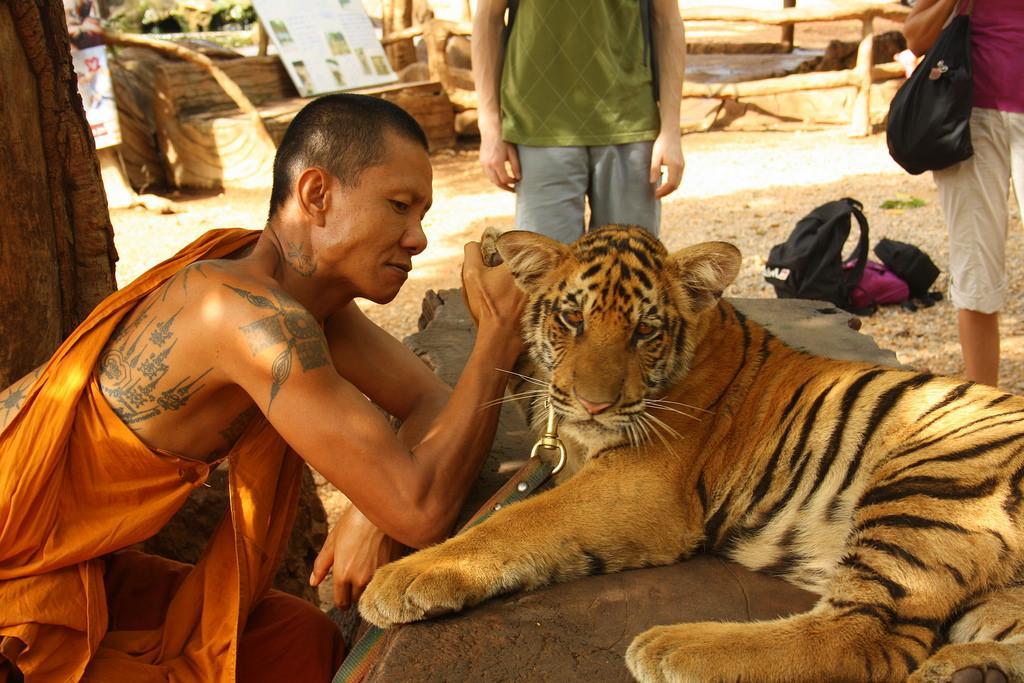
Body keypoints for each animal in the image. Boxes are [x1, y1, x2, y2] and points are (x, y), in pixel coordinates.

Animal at [358, 225, 1024, 683]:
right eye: (572, 318)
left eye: (645, 330)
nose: (594, 404)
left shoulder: (641, 484)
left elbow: (520, 520)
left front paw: (401, 577)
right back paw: (971, 668)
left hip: (933, 474)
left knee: (868, 637)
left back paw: (671, 647)